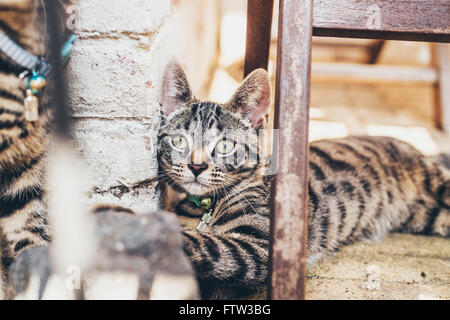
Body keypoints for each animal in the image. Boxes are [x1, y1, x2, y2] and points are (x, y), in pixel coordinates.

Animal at [158, 60, 450, 300]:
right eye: (179, 141)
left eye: (225, 145)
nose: (196, 166)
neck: (207, 208)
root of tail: (414, 148)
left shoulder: (259, 248)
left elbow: (208, 245)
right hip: (429, 216)